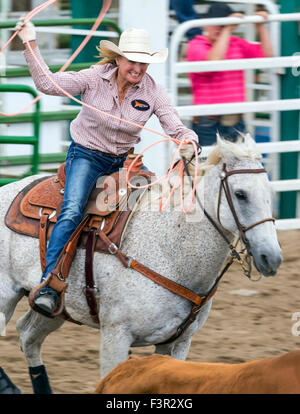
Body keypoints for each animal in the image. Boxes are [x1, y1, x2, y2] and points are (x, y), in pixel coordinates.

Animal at [0, 135, 282, 392]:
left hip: (57, 309)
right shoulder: (115, 336)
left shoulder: (178, 343)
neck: (171, 249)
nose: (272, 257)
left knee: (28, 335)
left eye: (269, 192)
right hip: (6, 297)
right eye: (241, 194)